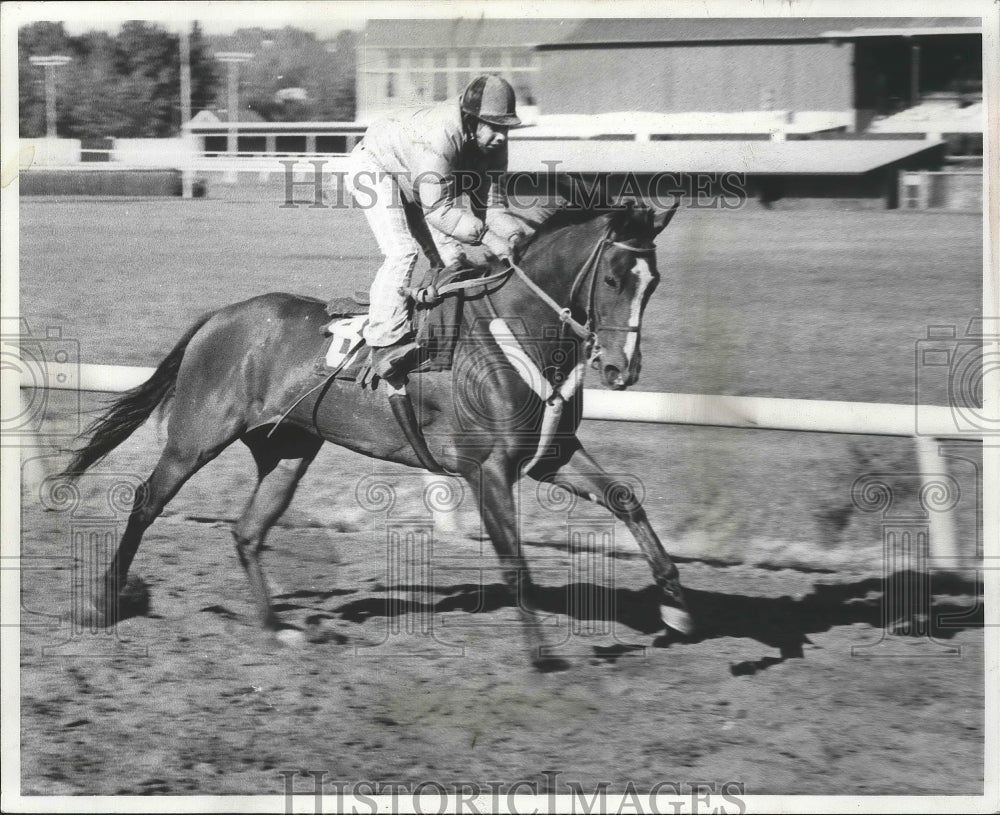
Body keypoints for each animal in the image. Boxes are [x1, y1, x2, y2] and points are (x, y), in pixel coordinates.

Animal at [62, 199, 688, 668]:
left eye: (653, 282)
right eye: (613, 278)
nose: (621, 370)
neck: (518, 336)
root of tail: (218, 317)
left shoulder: (550, 455)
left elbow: (625, 498)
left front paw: (676, 603)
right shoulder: (486, 468)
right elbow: (514, 561)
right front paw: (540, 653)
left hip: (287, 451)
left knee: (247, 532)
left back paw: (276, 627)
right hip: (197, 437)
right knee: (147, 501)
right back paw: (103, 600)